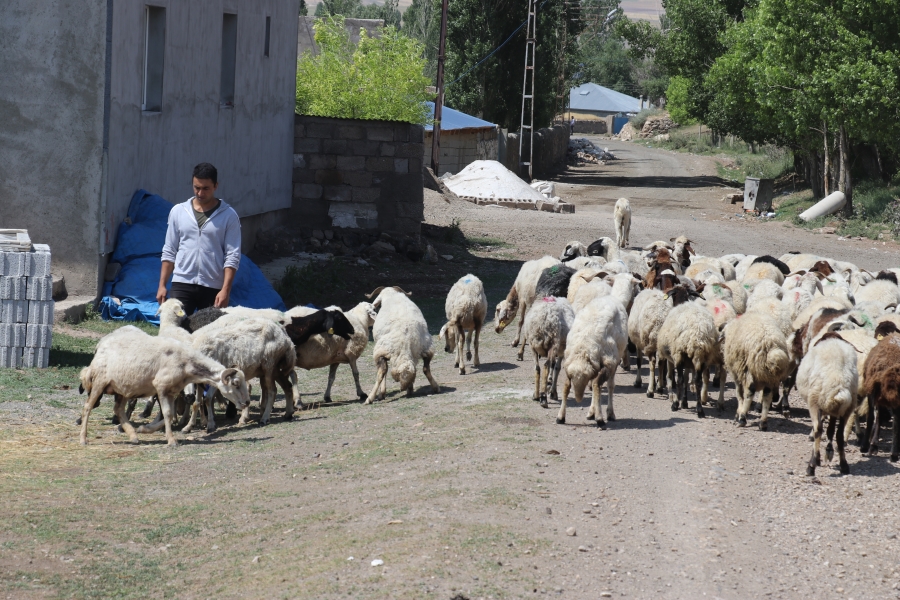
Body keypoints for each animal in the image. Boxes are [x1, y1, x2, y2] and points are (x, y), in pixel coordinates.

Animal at [78, 324, 250, 446]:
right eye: (235, 383)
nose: (247, 402)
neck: (186, 363)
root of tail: (100, 347)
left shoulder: (172, 391)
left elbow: (171, 415)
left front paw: (145, 429)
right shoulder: (161, 386)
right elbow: (167, 413)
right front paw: (172, 441)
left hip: (122, 388)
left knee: (118, 410)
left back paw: (133, 435)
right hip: (100, 382)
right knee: (87, 407)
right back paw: (83, 439)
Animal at [564, 296, 624, 426]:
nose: (578, 399)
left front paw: (593, 411)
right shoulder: (611, 362)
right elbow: (609, 386)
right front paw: (608, 413)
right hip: (608, 361)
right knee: (597, 384)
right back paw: (599, 417)